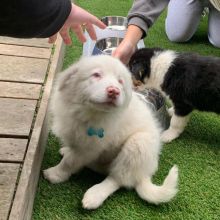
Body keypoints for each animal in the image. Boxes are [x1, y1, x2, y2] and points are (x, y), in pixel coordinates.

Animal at [43, 55, 179, 210]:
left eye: (120, 81)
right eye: (96, 75)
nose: (114, 91)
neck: (89, 113)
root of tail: (144, 172)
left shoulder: (89, 148)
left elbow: (69, 162)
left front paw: (55, 174)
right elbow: (72, 153)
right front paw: (66, 154)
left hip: (138, 144)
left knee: (117, 179)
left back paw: (95, 195)